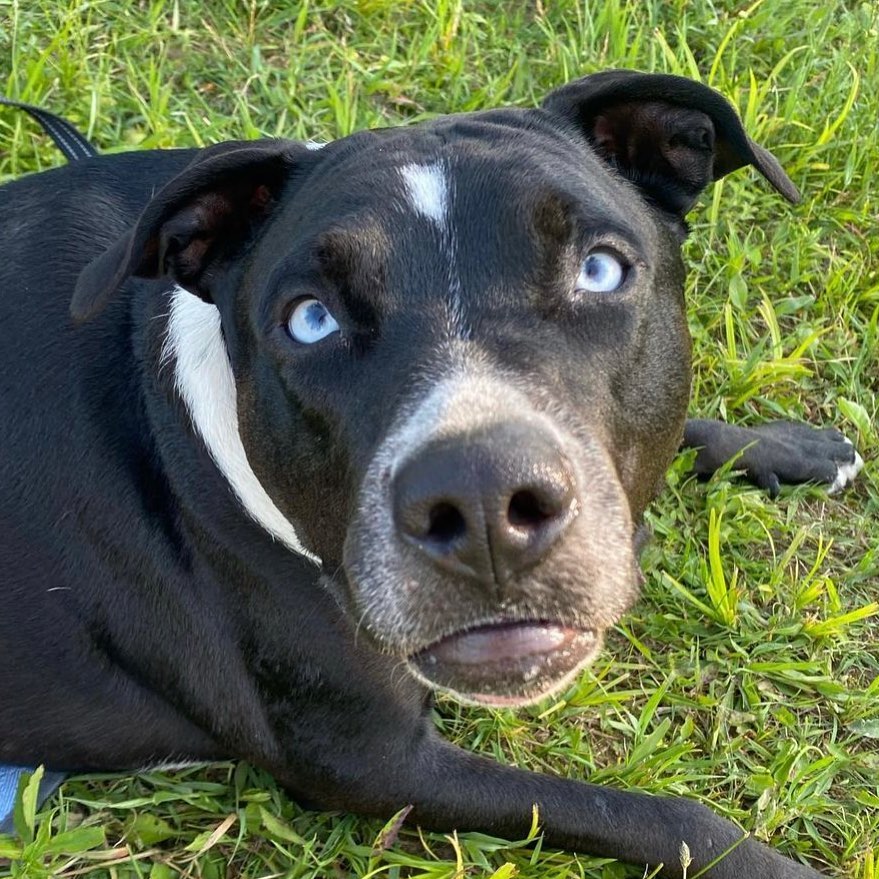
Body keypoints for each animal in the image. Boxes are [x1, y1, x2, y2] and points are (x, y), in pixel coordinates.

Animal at [0, 72, 864, 876]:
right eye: (309, 318)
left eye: (599, 271)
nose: (482, 499)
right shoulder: (372, 762)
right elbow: (664, 817)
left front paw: (791, 450)